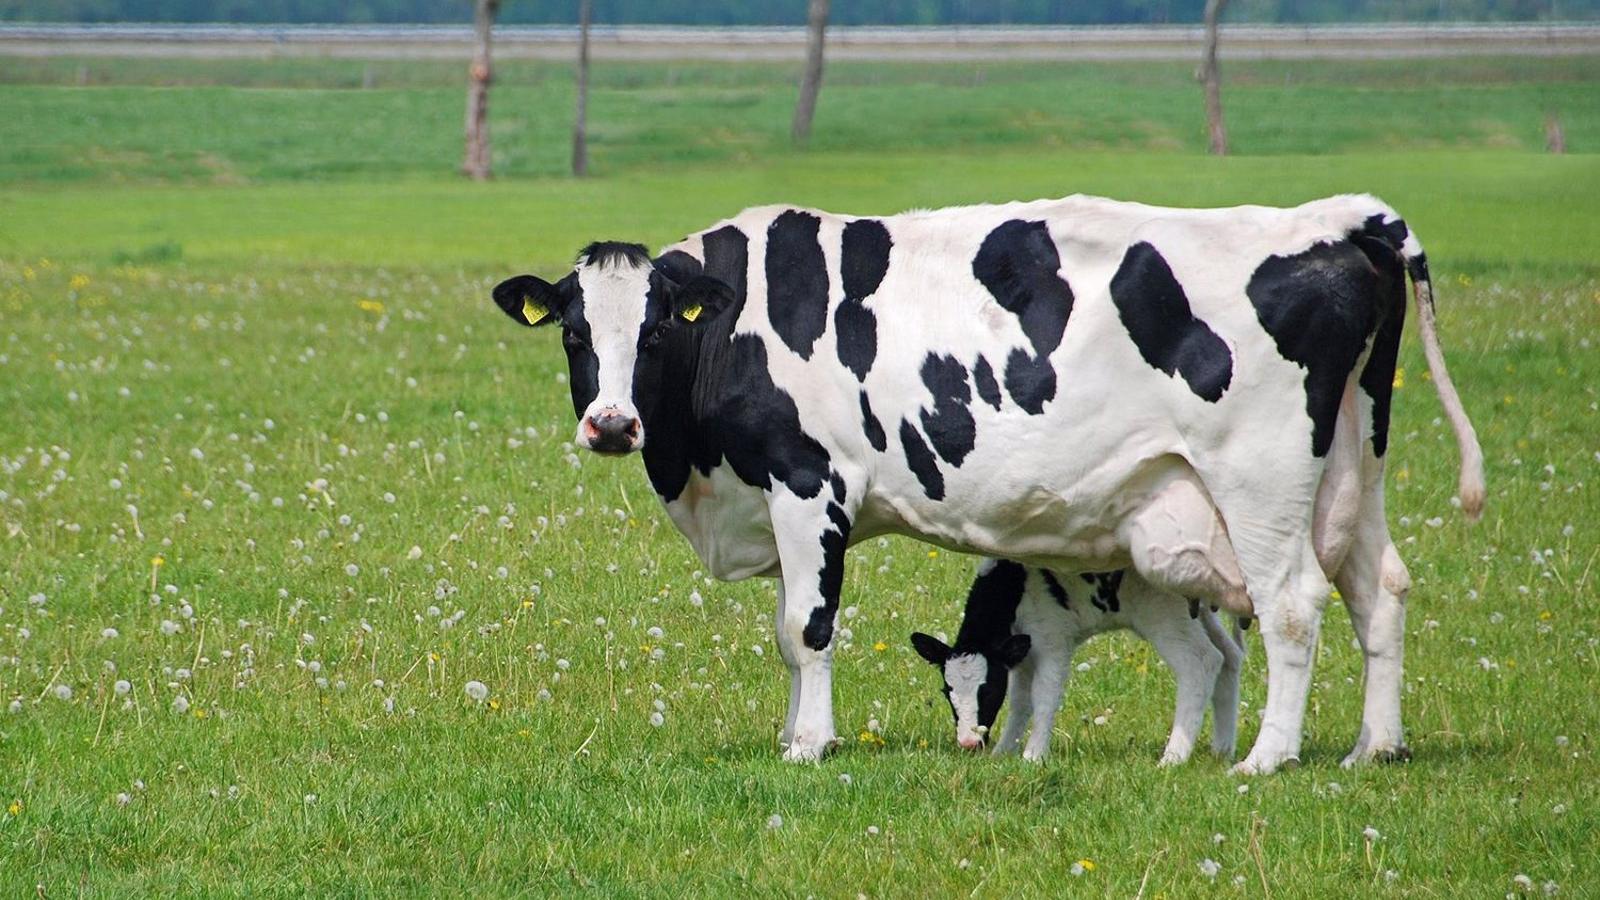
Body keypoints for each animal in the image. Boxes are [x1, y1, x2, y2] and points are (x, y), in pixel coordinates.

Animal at [911, 559, 1246, 764]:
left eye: (989, 690)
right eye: (947, 692)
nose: (968, 742)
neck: (1015, 586)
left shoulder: (1053, 641)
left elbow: (1044, 698)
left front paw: (1033, 756)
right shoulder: (1021, 652)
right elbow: (1020, 702)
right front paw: (1004, 751)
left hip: (1163, 613)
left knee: (1201, 661)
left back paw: (1173, 757)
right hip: (1199, 614)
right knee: (1229, 656)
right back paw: (1222, 749)